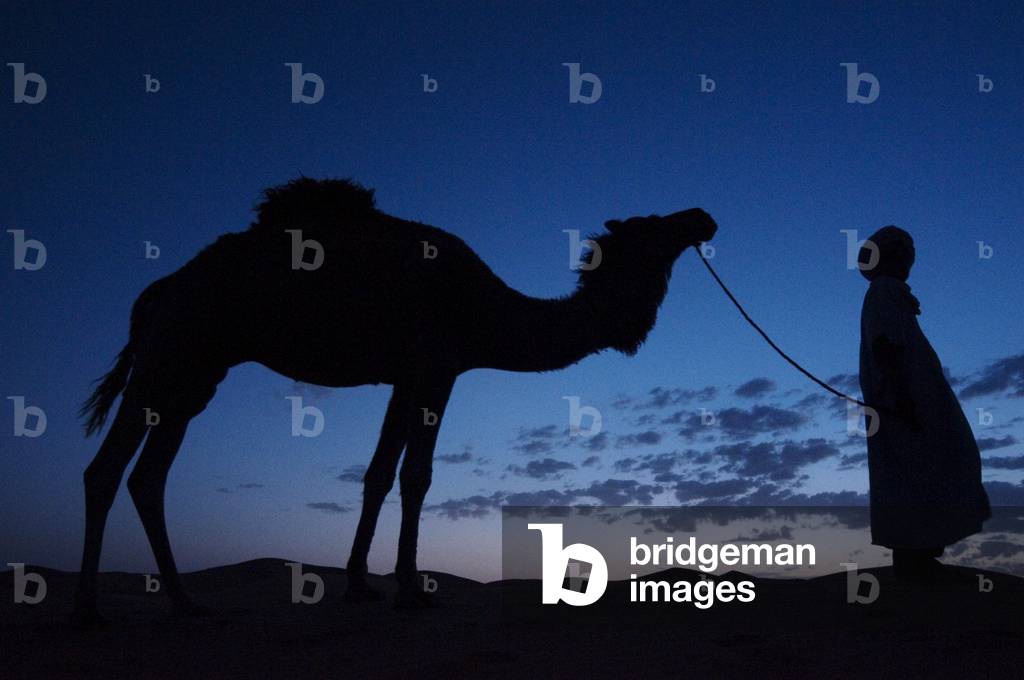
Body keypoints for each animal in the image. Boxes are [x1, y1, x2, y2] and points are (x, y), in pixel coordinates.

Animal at [72, 177, 717, 622]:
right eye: (653, 224)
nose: (703, 216)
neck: (481, 307)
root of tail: (157, 291)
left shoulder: (406, 377)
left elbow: (378, 473)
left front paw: (360, 584)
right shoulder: (436, 368)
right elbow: (417, 476)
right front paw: (410, 590)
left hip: (196, 374)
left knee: (148, 476)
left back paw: (185, 602)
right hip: (169, 352)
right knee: (105, 469)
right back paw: (89, 610)